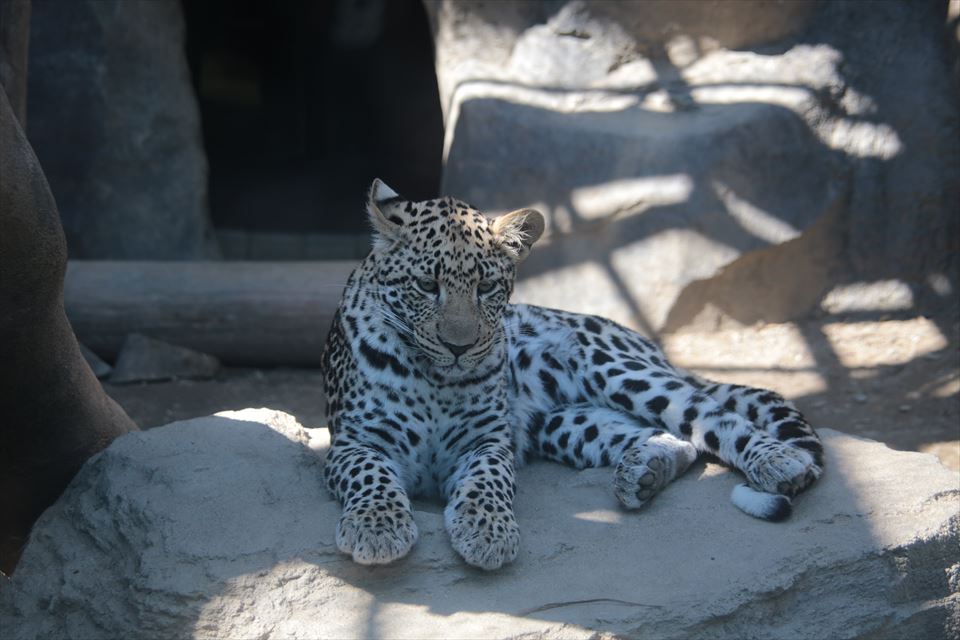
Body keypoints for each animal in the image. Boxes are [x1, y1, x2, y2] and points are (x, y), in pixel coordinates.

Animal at [322, 179, 824, 568]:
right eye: (427, 285)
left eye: (486, 286)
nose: (459, 347)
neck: (435, 380)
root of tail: (649, 346)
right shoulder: (352, 444)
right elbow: (371, 474)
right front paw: (376, 528)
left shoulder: (486, 443)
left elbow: (487, 480)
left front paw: (487, 532)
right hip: (564, 423)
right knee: (678, 439)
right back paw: (644, 471)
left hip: (614, 367)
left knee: (709, 414)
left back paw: (778, 461)